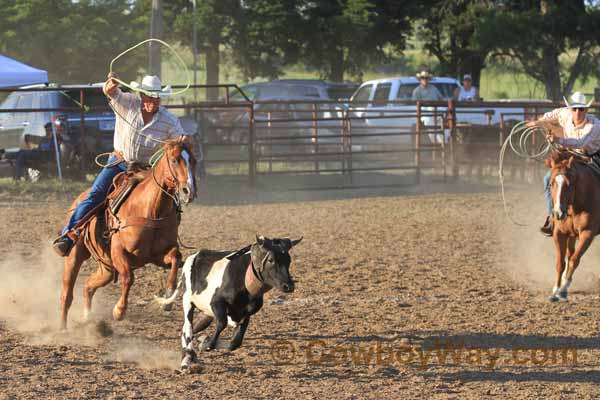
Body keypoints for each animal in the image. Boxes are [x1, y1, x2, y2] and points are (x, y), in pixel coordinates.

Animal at [58, 141, 196, 328]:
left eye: (194, 160)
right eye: (175, 160)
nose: (189, 191)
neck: (151, 209)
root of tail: (79, 198)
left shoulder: (157, 256)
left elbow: (175, 257)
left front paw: (167, 297)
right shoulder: (119, 252)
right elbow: (128, 277)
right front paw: (118, 311)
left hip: (107, 268)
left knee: (88, 286)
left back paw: (87, 318)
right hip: (75, 255)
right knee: (67, 294)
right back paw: (62, 328)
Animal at [157, 236, 302, 370]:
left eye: (288, 260)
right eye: (271, 260)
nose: (289, 286)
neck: (243, 279)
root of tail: (193, 257)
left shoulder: (246, 313)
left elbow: (235, 342)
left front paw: (204, 341)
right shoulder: (217, 303)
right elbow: (222, 324)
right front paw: (205, 344)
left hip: (206, 312)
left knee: (194, 328)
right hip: (188, 301)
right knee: (187, 328)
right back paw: (186, 359)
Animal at [548, 152, 600, 302]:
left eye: (569, 184)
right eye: (551, 183)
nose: (558, 213)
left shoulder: (587, 234)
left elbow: (574, 260)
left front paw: (563, 289)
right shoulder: (559, 233)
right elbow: (561, 262)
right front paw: (556, 289)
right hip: (571, 234)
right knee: (569, 253)